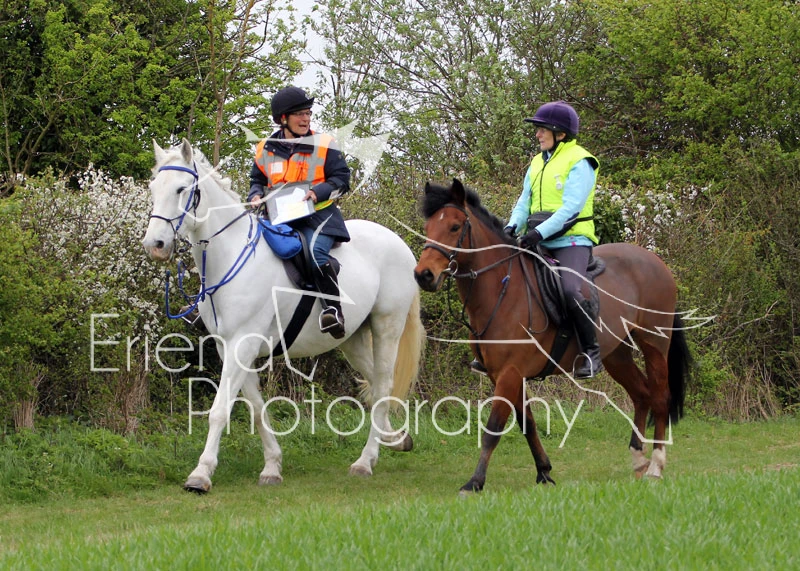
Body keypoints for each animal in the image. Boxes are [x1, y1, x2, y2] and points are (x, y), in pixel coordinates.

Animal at [142, 139, 425, 492]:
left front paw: (201, 473)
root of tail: (398, 242)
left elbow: (220, 409)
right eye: (153, 188)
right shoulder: (230, 347)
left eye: (181, 188)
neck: (231, 256)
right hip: (352, 338)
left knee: (384, 382)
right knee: (375, 385)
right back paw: (395, 439)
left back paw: (365, 460)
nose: (155, 244)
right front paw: (272, 466)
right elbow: (256, 408)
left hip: (387, 326)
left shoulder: (242, 344)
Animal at [413, 179, 693, 494]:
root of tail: (656, 261)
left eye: (454, 226)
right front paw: (544, 472)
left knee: (659, 397)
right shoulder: (505, 375)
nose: (424, 275)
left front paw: (475, 482)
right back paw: (637, 460)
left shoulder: (510, 374)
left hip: (654, 344)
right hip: (616, 354)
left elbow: (493, 429)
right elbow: (528, 424)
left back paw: (655, 466)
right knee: (641, 395)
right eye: (428, 227)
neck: (502, 290)